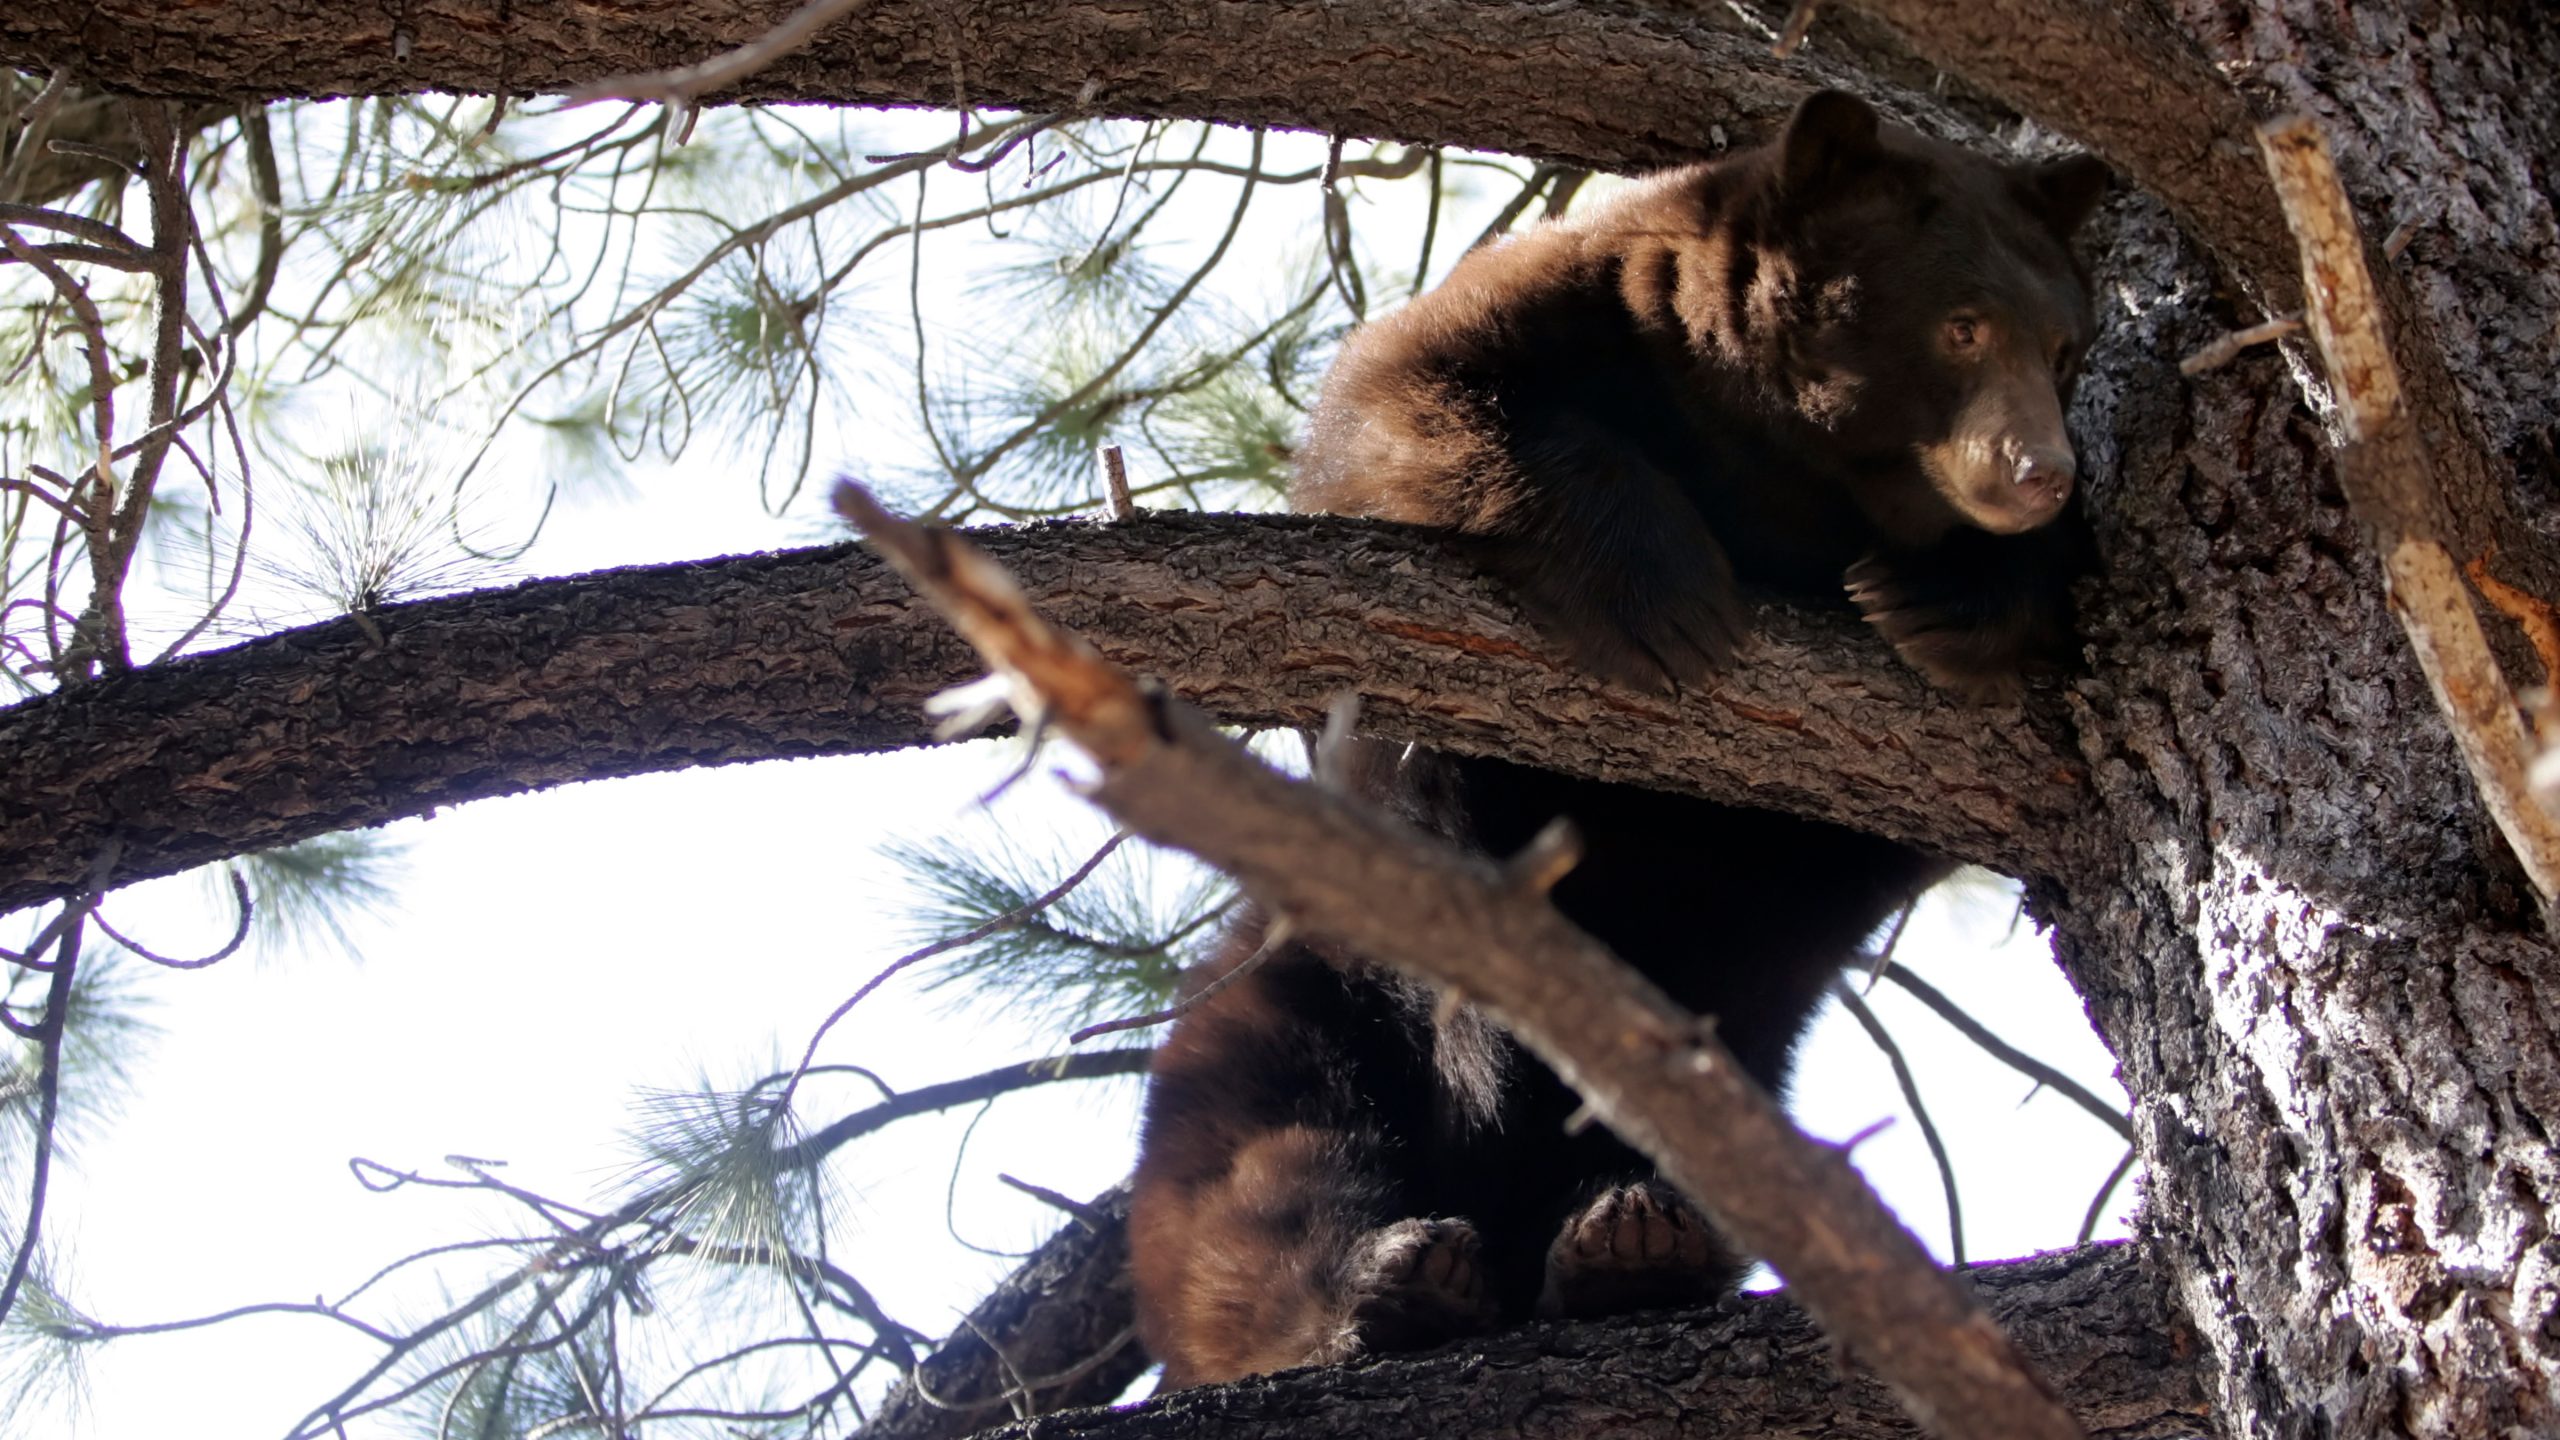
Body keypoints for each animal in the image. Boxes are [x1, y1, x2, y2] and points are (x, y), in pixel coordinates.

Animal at [1127, 90, 2110, 1389]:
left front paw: (1943, 600)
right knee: (1262, 1171)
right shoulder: (1585, 312)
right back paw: (1392, 1281)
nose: (2037, 470)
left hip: (1735, 1049)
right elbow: (1395, 401)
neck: (1787, 468)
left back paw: (1632, 1241)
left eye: (2063, 349)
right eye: (1962, 326)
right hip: (1303, 993)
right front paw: (1665, 594)